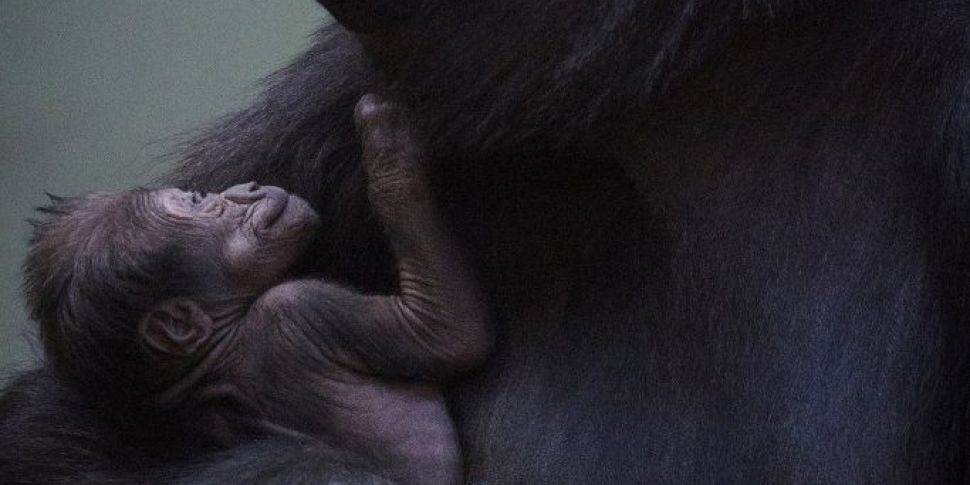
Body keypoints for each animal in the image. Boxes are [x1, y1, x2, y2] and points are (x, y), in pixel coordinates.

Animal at [22, 95, 492, 484]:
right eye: (200, 202)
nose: (245, 189)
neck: (221, 340)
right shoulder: (298, 313)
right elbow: (445, 330)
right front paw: (389, 146)